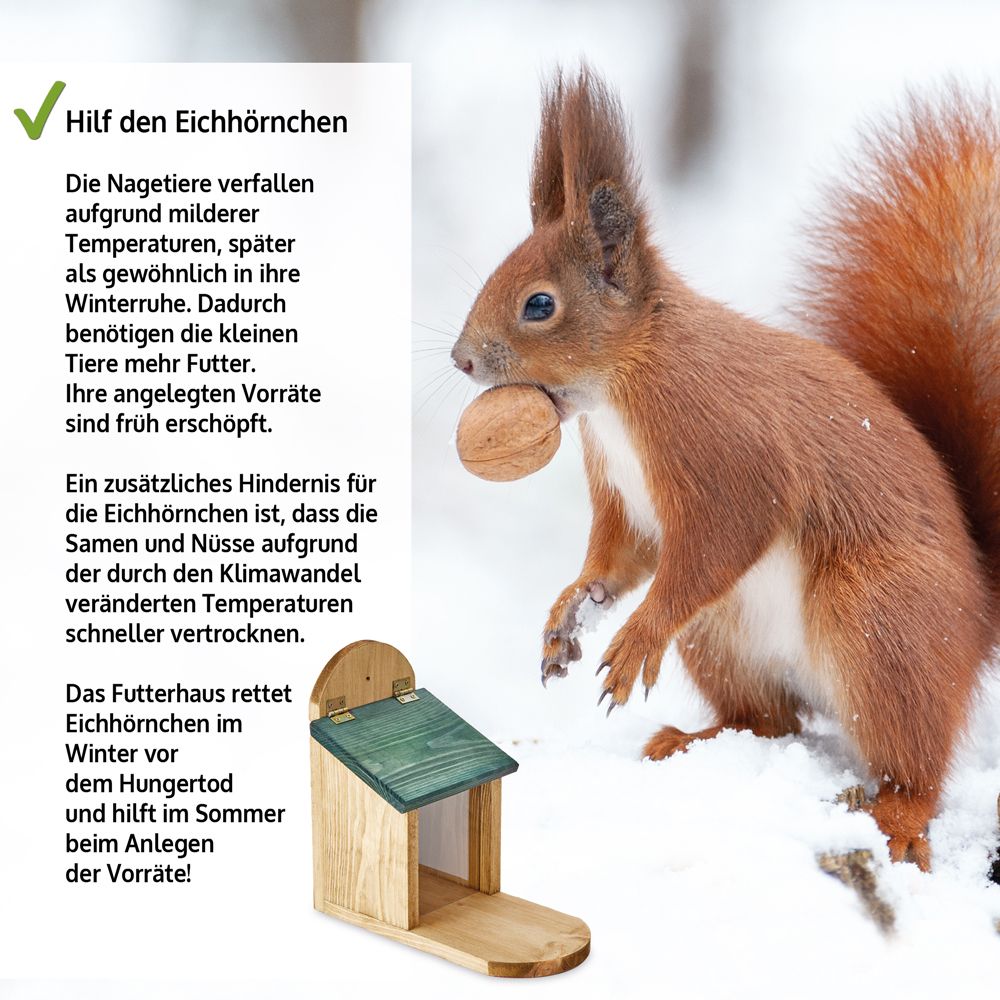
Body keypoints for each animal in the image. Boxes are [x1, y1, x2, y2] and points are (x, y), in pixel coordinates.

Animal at [451, 69, 1000, 871]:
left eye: (539, 304)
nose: (460, 360)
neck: (621, 387)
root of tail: (980, 616)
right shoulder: (623, 495)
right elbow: (620, 557)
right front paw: (571, 611)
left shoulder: (723, 448)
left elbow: (720, 539)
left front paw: (636, 635)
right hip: (723, 639)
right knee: (772, 722)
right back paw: (690, 739)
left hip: (880, 620)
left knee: (912, 761)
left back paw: (900, 815)